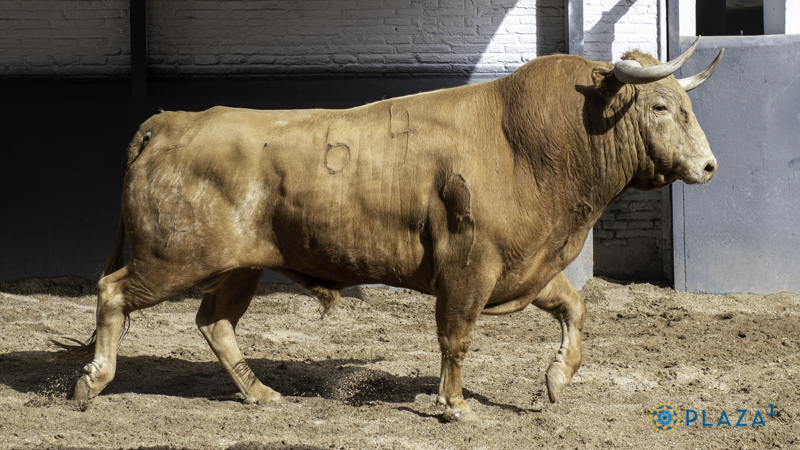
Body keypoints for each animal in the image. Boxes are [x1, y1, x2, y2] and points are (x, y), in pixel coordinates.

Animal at [55, 37, 723, 422]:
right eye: (661, 107)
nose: (709, 166)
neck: (528, 143)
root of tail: (171, 121)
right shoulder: (468, 269)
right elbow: (456, 338)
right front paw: (453, 406)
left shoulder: (526, 267)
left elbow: (575, 309)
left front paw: (556, 380)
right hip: (173, 259)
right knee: (114, 292)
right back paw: (93, 381)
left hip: (239, 266)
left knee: (214, 322)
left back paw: (261, 394)